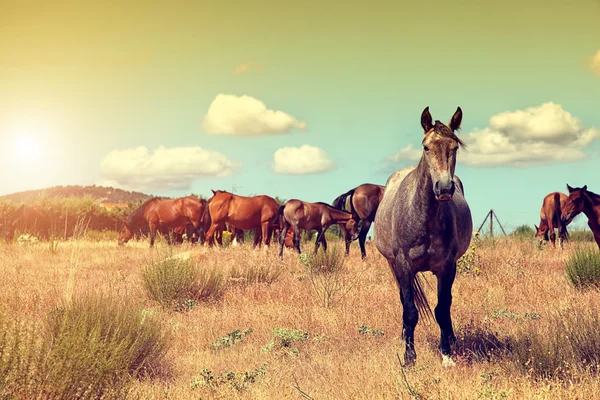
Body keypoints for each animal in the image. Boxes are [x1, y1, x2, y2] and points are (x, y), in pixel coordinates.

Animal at [372, 104, 472, 368]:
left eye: (454, 147)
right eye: (426, 147)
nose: (445, 188)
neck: (423, 216)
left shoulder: (447, 267)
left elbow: (442, 309)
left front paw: (447, 354)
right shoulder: (403, 266)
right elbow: (410, 310)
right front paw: (409, 357)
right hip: (394, 266)